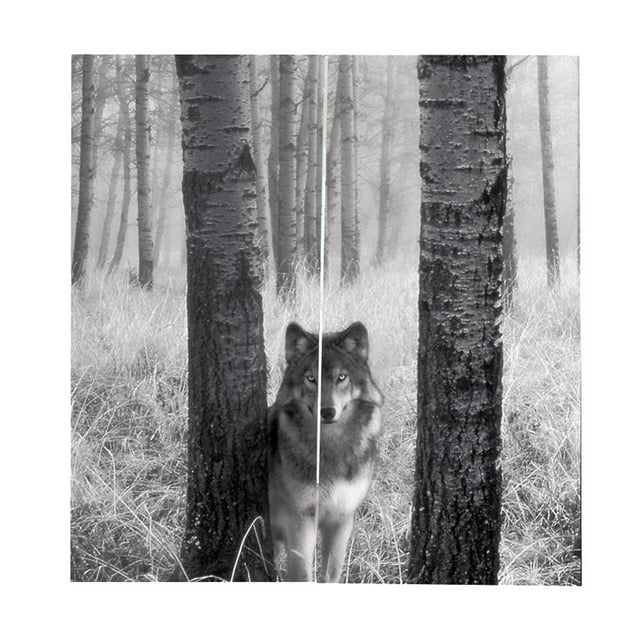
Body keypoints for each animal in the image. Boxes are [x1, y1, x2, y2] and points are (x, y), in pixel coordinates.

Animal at [268, 321, 383, 582]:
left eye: (341, 377)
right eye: (311, 378)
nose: (327, 411)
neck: (330, 448)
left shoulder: (342, 519)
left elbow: (331, 574)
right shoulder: (301, 519)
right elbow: (302, 576)